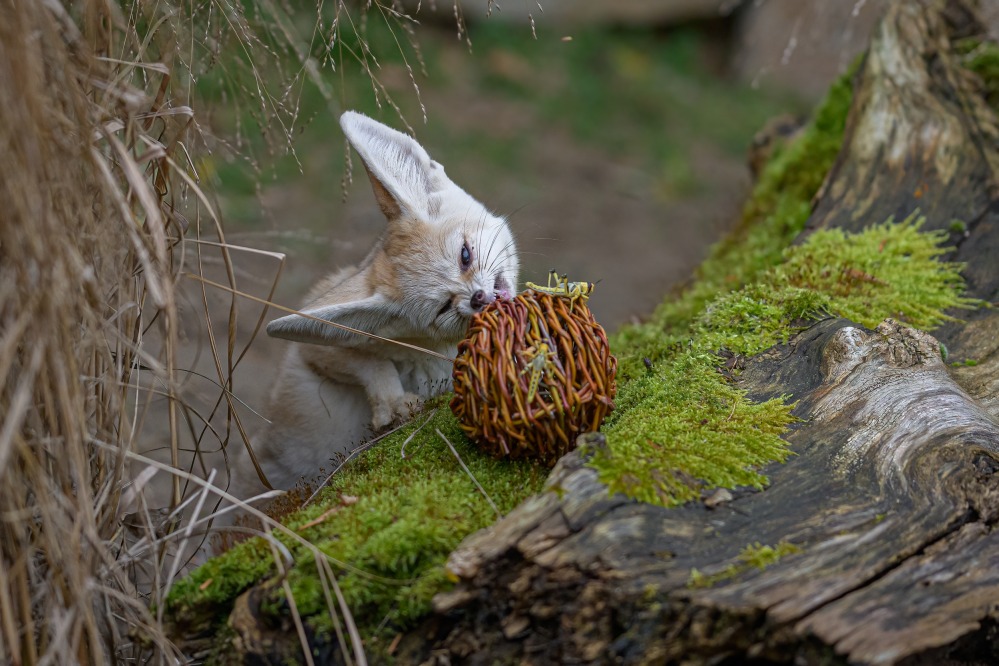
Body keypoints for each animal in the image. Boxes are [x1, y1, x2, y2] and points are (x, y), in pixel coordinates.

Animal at [230, 110, 520, 492]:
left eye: (465, 256)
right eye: (443, 307)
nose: (477, 298)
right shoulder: (312, 351)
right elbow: (370, 363)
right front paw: (393, 401)